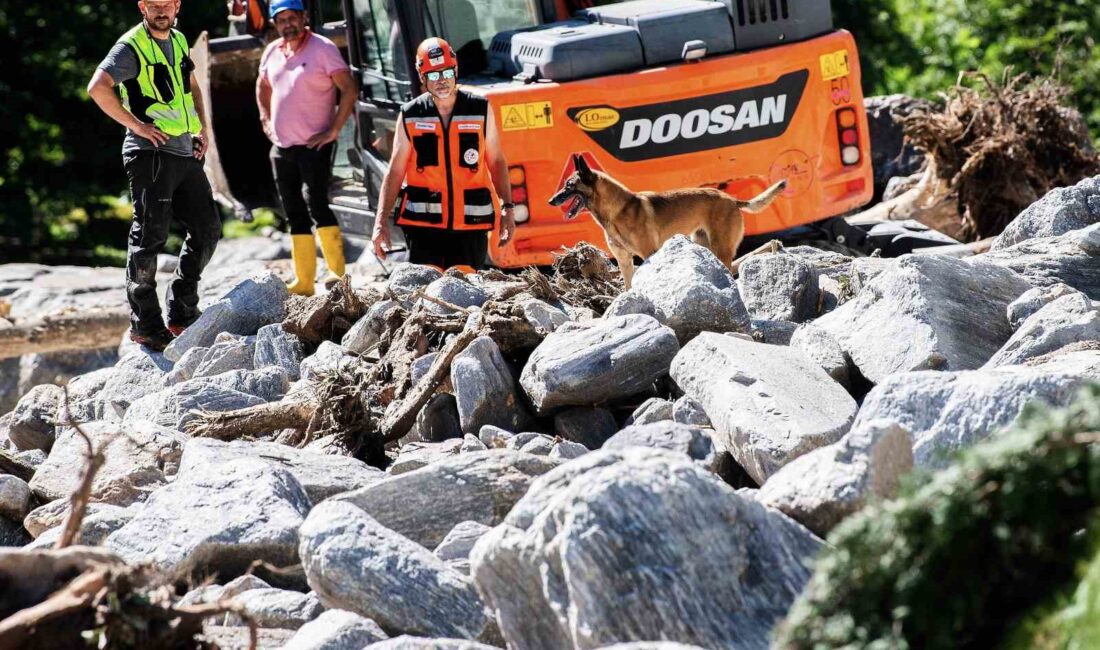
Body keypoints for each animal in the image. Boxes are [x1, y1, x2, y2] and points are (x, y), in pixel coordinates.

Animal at [545, 155, 787, 288]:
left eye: (569, 186)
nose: (550, 200)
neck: (616, 211)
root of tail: (733, 200)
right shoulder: (624, 261)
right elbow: (628, 287)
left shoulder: (649, 254)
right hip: (703, 245)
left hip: (722, 248)